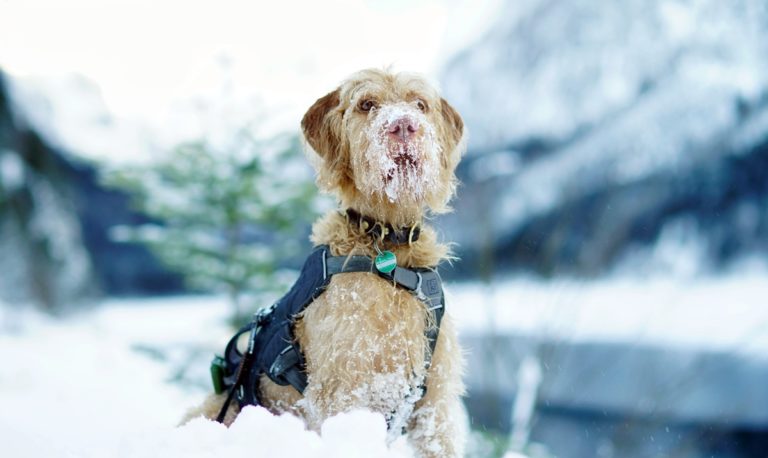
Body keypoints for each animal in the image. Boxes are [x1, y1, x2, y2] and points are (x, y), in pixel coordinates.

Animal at [188, 69, 468, 458]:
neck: (386, 247)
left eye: (419, 104)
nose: (404, 125)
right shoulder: (345, 389)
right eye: (367, 104)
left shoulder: (434, 398)